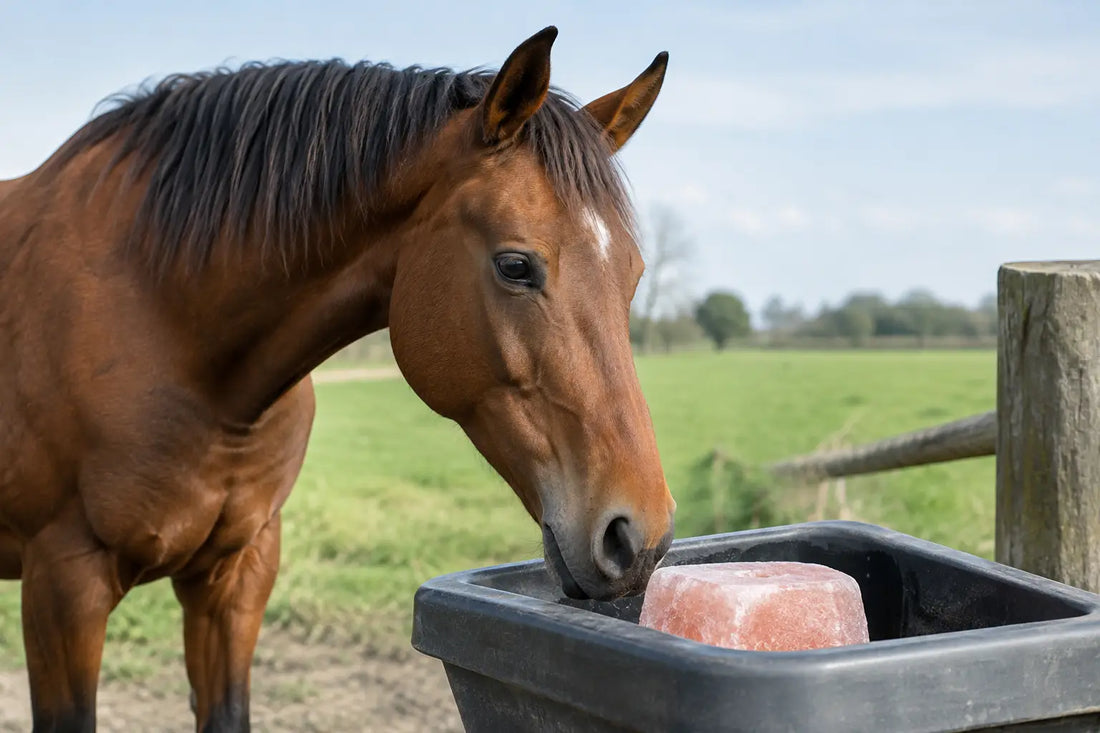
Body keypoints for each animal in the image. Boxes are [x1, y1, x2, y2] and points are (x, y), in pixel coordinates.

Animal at [0, 26, 675, 732]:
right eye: (516, 266)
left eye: (632, 273)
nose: (638, 537)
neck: (160, 313)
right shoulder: (65, 584)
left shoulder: (237, 575)